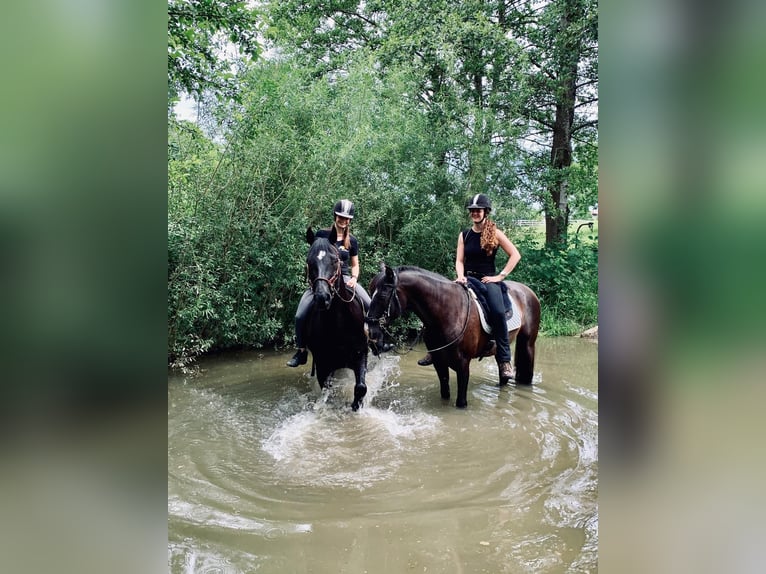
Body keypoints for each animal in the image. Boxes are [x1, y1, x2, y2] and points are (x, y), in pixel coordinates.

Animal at [304, 232, 368, 412]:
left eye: (334, 261)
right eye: (309, 261)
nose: (322, 297)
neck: (338, 324)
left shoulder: (360, 354)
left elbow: (361, 387)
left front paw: (356, 406)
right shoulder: (323, 364)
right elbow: (327, 391)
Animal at [366, 266, 540, 410]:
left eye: (382, 295)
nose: (370, 332)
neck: (448, 312)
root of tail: (528, 291)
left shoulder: (463, 364)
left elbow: (461, 402)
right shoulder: (439, 363)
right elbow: (445, 393)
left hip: (528, 344)